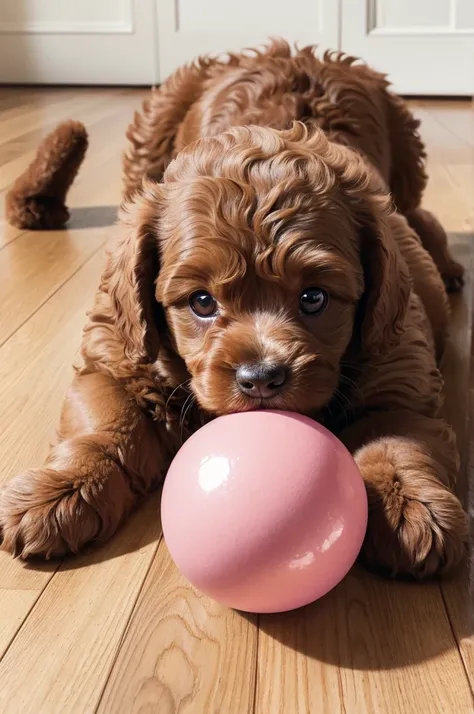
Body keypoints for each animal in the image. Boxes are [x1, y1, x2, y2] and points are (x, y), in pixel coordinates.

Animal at [0, 40, 466, 580]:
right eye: (201, 302)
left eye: (314, 298)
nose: (261, 379)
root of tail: (295, 49)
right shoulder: (117, 353)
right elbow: (105, 422)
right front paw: (60, 492)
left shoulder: (398, 354)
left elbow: (394, 433)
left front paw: (408, 505)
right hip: (153, 131)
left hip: (408, 169)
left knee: (423, 216)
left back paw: (451, 266)